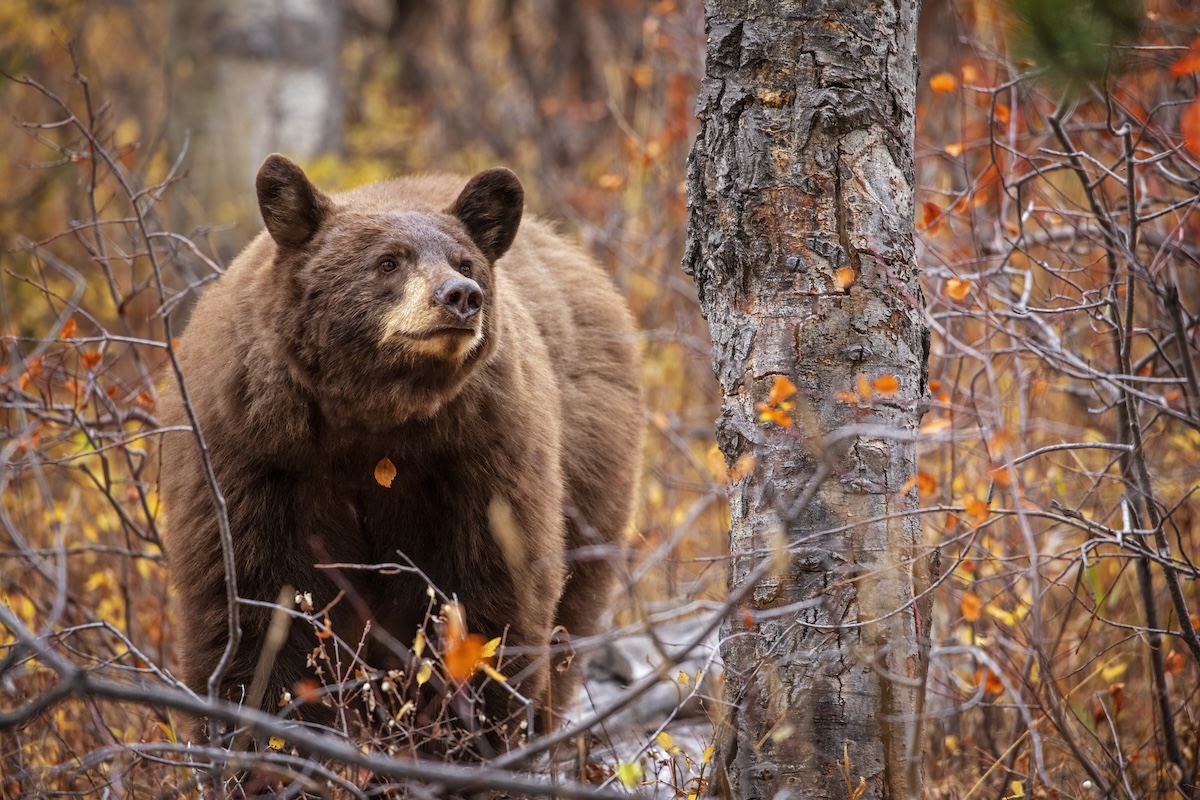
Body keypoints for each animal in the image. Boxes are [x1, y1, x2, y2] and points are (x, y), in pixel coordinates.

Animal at [159, 154, 643, 747]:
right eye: (388, 262)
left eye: (464, 260)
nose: (461, 295)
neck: (372, 419)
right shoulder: (254, 454)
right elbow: (254, 607)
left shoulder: (480, 457)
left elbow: (489, 601)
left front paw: (465, 738)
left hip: (592, 476)